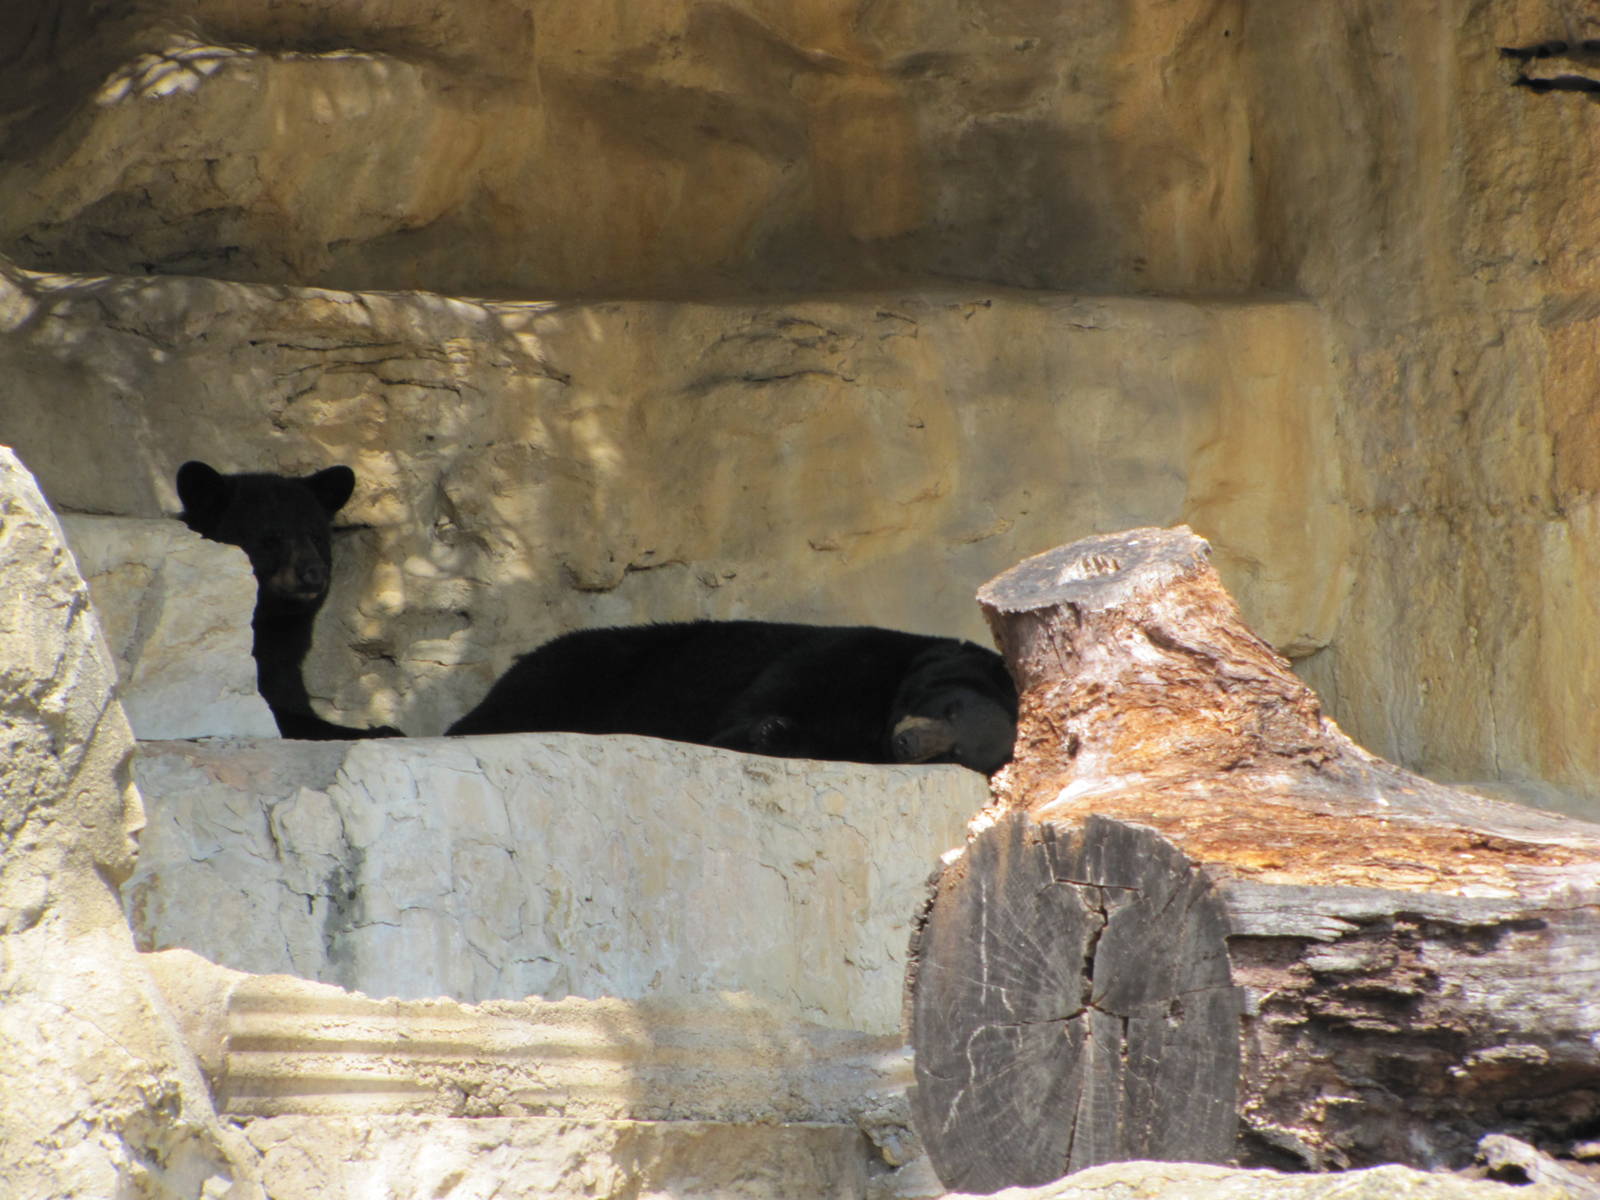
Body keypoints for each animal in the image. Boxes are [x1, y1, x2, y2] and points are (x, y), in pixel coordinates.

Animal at [175, 460, 401, 740]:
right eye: (271, 538)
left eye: (316, 536)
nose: (315, 572)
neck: (269, 616)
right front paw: (379, 729)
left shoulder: (284, 645)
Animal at [447, 620, 1017, 774]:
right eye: (949, 706)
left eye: (956, 753)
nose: (909, 744)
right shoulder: (846, 656)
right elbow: (760, 701)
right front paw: (762, 729)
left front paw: (777, 734)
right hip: (583, 666)